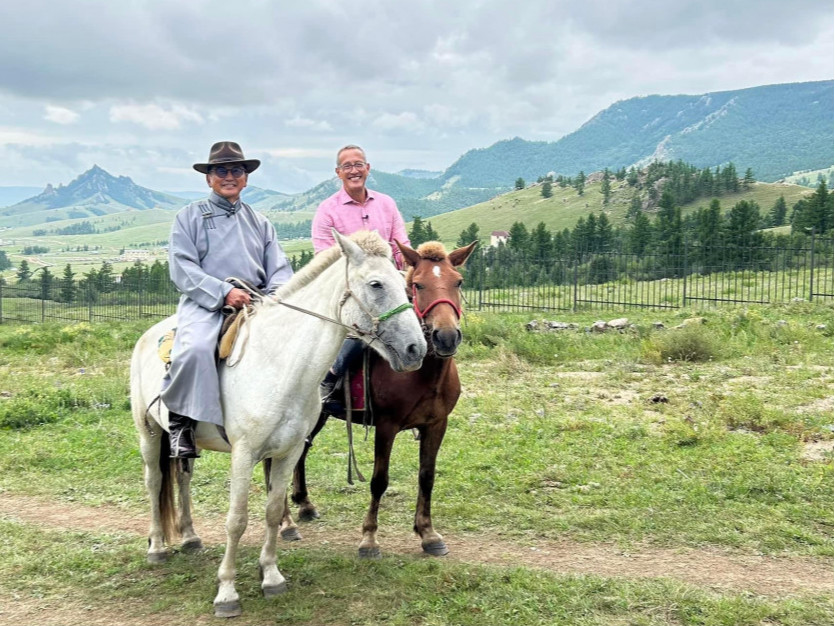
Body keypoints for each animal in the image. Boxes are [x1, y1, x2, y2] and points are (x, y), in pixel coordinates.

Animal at [135, 229, 432, 616]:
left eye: (405, 282)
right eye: (376, 284)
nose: (416, 349)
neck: (279, 364)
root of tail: (148, 336)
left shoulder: (289, 452)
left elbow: (274, 511)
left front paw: (271, 576)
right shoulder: (243, 454)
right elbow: (237, 520)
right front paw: (227, 591)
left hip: (184, 444)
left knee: (182, 479)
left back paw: (189, 537)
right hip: (148, 432)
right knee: (155, 481)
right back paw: (157, 546)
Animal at [284, 238, 476, 556]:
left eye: (458, 282)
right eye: (418, 285)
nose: (446, 337)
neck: (423, 374)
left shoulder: (436, 425)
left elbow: (427, 476)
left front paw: (428, 533)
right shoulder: (387, 425)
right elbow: (379, 480)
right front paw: (369, 538)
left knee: (301, 450)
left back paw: (304, 504)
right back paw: (286, 523)